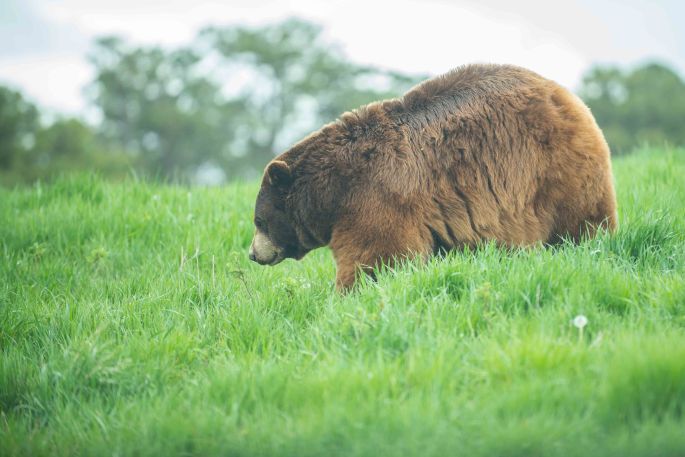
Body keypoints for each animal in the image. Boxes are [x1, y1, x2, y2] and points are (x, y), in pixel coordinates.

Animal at [248, 63, 617, 291]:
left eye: (259, 220)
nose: (253, 254)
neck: (333, 191)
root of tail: (567, 95)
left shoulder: (377, 195)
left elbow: (376, 253)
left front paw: (347, 291)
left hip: (554, 168)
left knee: (580, 220)